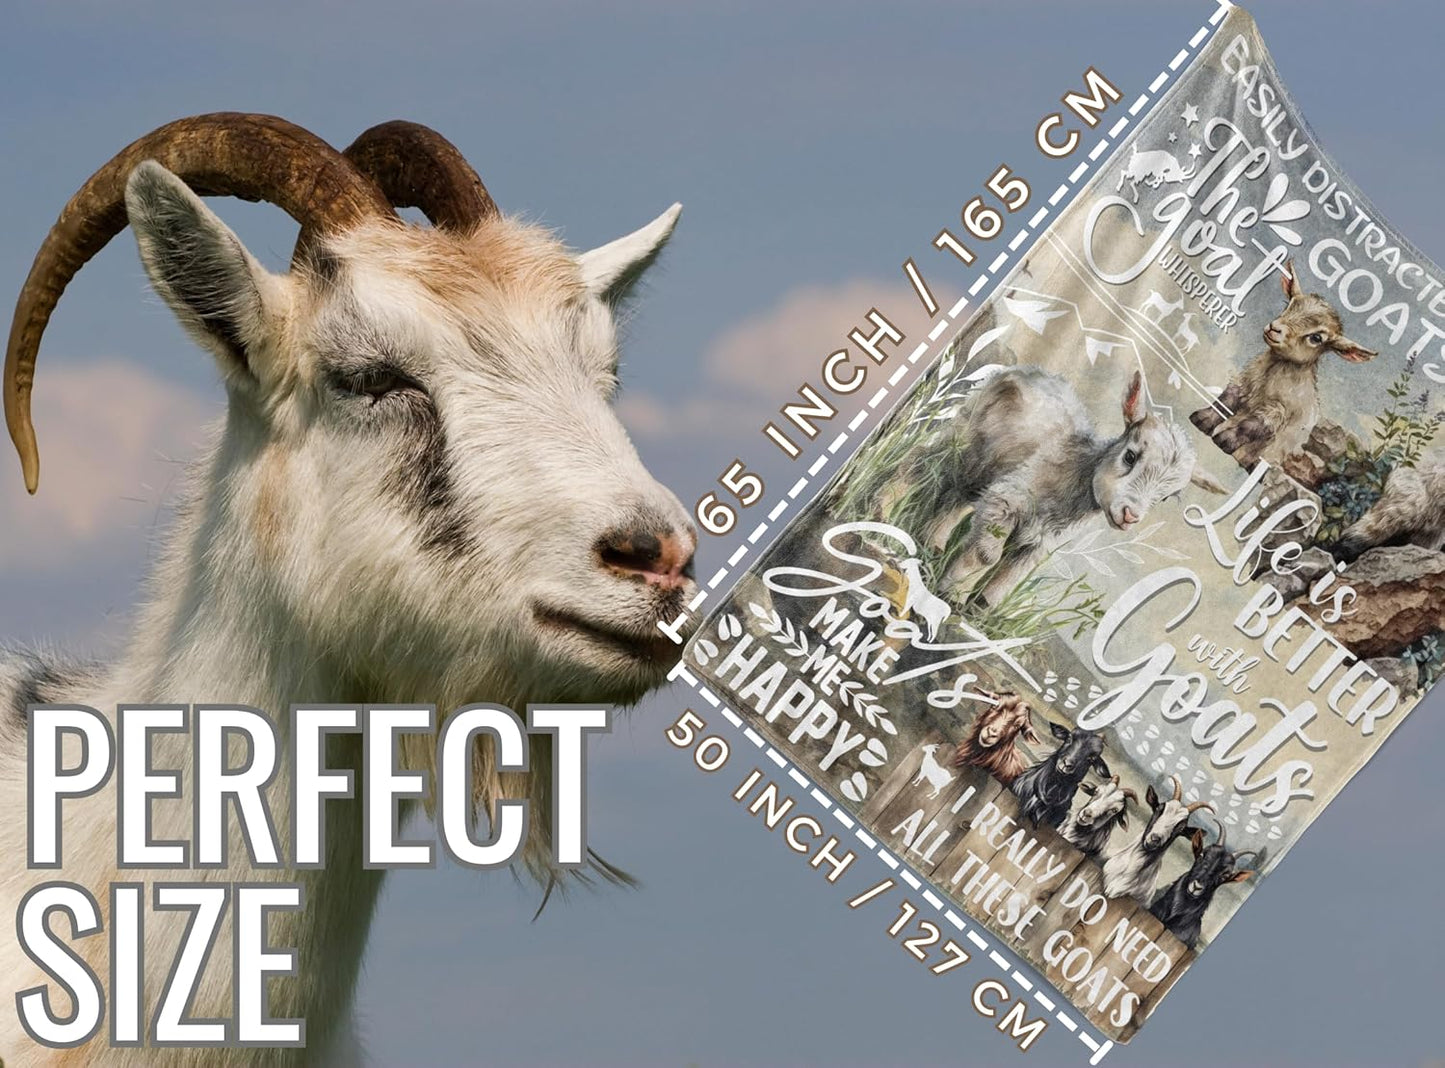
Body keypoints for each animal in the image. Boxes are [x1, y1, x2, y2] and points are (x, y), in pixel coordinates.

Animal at [941, 366, 1224, 603]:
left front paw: (977, 612)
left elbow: (1007, 581)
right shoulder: (1006, 499)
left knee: (958, 499)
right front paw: (951, 595)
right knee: (941, 483)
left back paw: (934, 543)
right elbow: (986, 556)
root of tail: (1034, 372)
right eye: (1130, 456)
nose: (1130, 516)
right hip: (962, 445)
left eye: (1165, 497)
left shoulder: (1039, 543)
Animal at [1190, 260, 1376, 467]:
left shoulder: (1277, 412)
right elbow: (1224, 401)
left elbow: (1250, 426)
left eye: (1316, 338)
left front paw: (1225, 441)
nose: (1274, 328)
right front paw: (1202, 419)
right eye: (1289, 305)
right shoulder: (1241, 383)